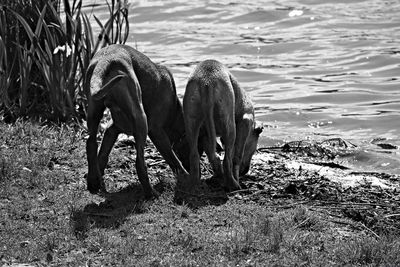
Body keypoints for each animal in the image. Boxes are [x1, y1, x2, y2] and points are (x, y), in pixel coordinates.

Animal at [84, 44, 189, 199]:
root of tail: (105, 60)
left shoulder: (112, 128)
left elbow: (103, 154)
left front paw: (98, 179)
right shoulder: (156, 131)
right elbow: (171, 156)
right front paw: (187, 176)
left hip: (93, 109)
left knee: (90, 143)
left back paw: (92, 183)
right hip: (141, 119)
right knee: (140, 163)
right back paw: (151, 193)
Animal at [182, 59, 262, 192]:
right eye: (254, 149)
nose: (245, 171)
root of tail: (206, 82)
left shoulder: (205, 134)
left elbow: (213, 156)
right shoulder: (245, 122)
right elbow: (236, 157)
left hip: (191, 124)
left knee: (195, 156)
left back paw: (195, 184)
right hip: (230, 128)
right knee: (227, 160)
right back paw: (234, 185)